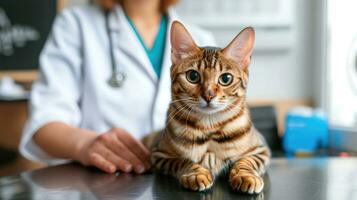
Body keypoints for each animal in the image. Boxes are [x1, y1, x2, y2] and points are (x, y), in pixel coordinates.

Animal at [145, 20, 270, 194]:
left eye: (226, 78)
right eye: (193, 76)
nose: (208, 96)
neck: (210, 127)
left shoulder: (261, 150)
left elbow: (246, 161)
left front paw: (246, 176)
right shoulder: (160, 155)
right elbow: (183, 161)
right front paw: (196, 173)